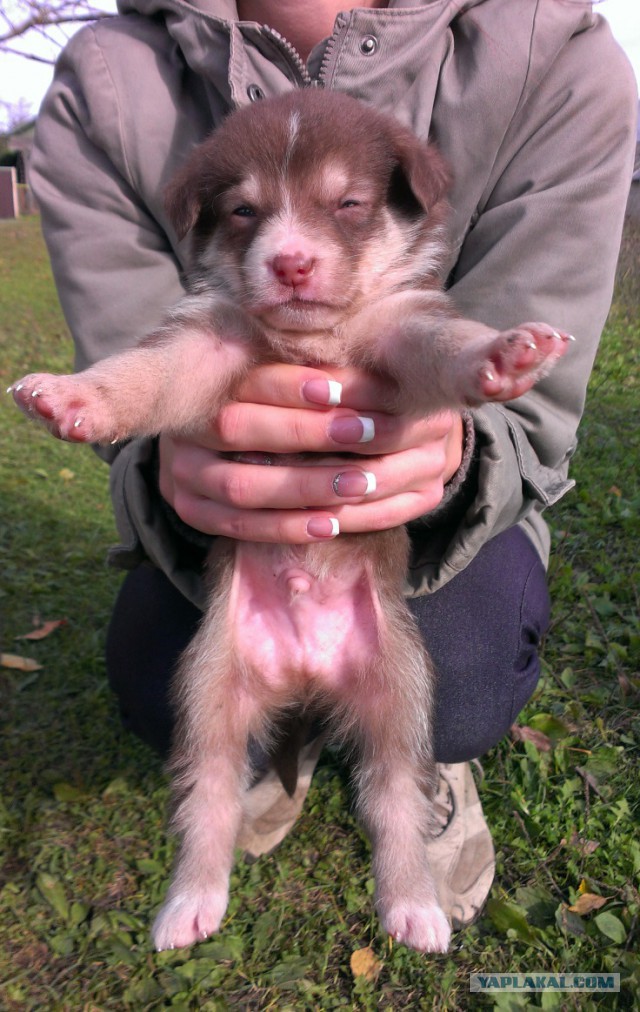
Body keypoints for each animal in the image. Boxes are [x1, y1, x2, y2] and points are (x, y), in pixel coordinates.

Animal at [11, 89, 571, 955]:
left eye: (348, 204)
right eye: (244, 210)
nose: (291, 263)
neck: (312, 338)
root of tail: (307, 675)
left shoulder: (401, 331)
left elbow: (447, 344)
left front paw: (504, 352)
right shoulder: (206, 344)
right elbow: (143, 371)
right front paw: (73, 398)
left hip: (400, 696)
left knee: (392, 800)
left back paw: (412, 904)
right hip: (208, 691)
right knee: (208, 794)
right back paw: (191, 902)